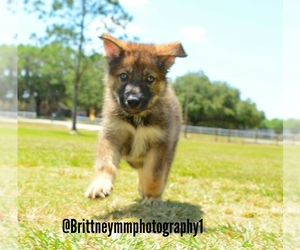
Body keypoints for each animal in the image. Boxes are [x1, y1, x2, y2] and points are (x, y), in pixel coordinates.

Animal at [85, 33, 186, 204]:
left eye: (150, 78)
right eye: (124, 76)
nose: (133, 101)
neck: (137, 119)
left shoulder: (160, 143)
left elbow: (154, 174)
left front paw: (153, 196)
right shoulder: (112, 135)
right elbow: (105, 164)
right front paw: (100, 185)